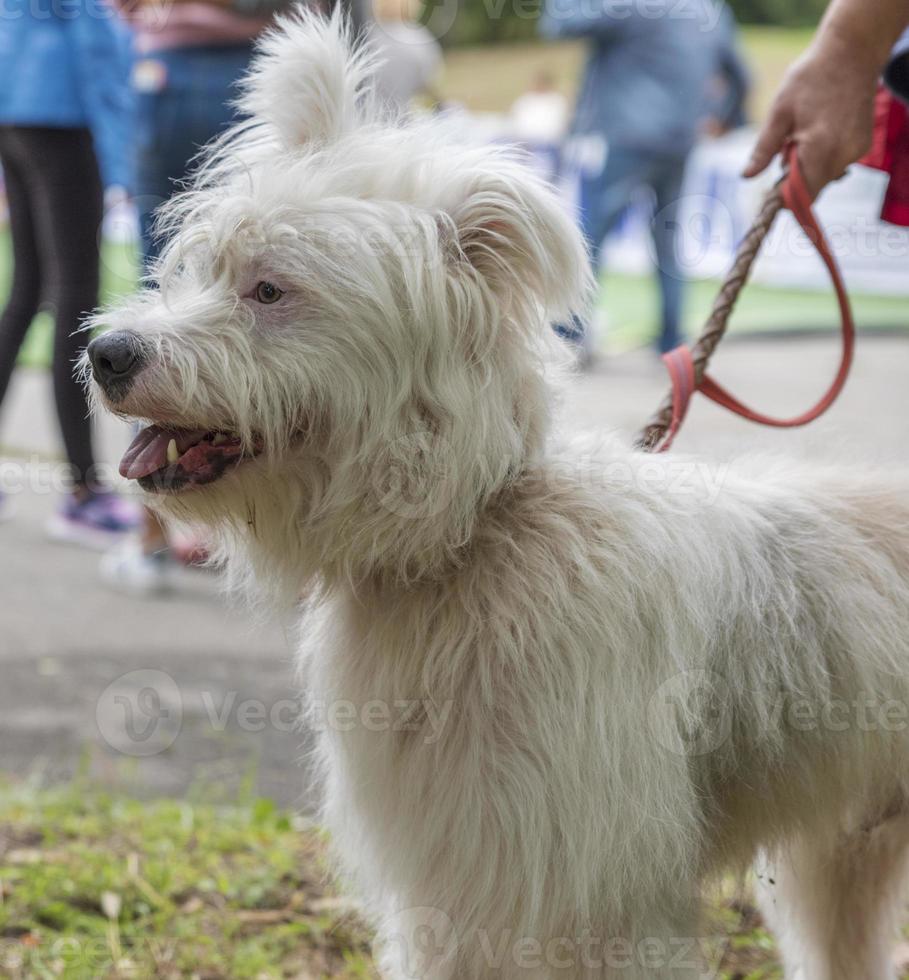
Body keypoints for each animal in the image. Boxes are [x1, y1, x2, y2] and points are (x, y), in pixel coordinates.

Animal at [87, 11, 909, 976]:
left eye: (270, 289)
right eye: (199, 271)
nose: (108, 355)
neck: (471, 536)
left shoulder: (590, 893)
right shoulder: (455, 876)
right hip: (846, 856)